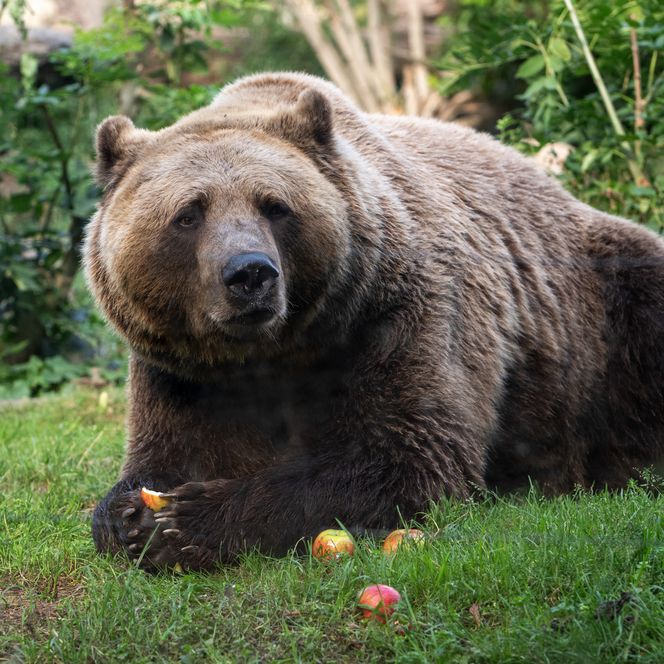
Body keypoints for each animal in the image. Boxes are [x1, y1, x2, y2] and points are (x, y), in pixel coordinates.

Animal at [85, 72, 664, 571]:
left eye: (274, 205)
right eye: (189, 213)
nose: (250, 273)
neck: (274, 352)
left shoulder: (396, 318)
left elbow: (407, 456)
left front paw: (184, 522)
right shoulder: (181, 372)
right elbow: (163, 454)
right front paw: (125, 514)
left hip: (604, 313)